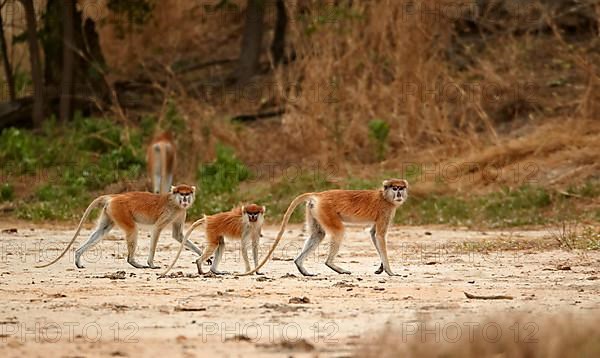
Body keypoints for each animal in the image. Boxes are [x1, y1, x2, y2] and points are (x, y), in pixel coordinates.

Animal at [36, 185, 203, 268]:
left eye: (188, 193)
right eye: (181, 194)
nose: (185, 199)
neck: (175, 202)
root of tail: (114, 196)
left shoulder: (181, 212)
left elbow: (178, 235)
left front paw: (203, 256)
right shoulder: (170, 212)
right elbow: (156, 229)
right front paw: (151, 263)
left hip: (110, 212)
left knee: (101, 232)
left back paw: (78, 255)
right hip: (120, 210)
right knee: (132, 230)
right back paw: (133, 262)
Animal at [240, 179, 408, 276]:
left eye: (401, 188)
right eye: (395, 188)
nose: (399, 194)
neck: (385, 196)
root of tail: (319, 195)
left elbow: (373, 234)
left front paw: (381, 268)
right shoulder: (386, 211)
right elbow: (379, 235)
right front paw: (390, 271)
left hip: (314, 210)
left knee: (318, 234)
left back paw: (301, 266)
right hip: (326, 210)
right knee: (339, 231)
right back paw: (333, 265)